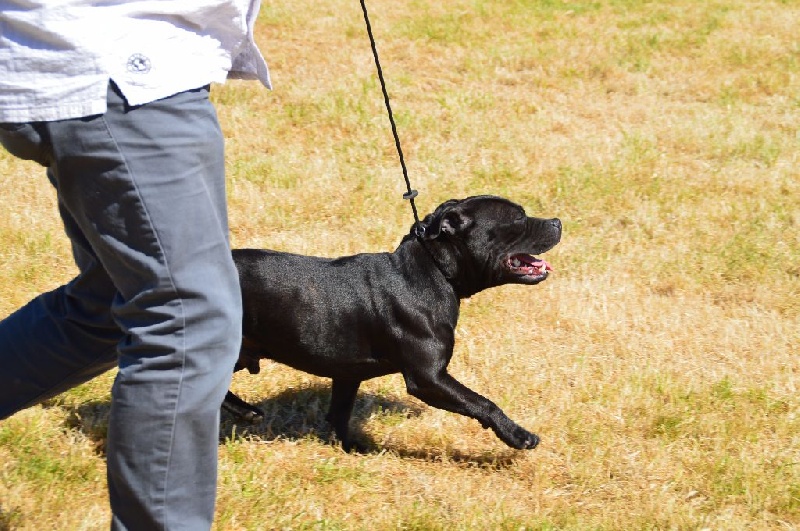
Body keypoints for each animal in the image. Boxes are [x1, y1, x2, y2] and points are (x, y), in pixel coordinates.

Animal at [225, 197, 564, 450]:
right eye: (519, 218)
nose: (558, 222)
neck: (434, 271)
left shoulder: (348, 373)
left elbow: (339, 413)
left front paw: (353, 449)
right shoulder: (428, 378)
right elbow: (481, 402)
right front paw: (517, 435)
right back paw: (247, 412)